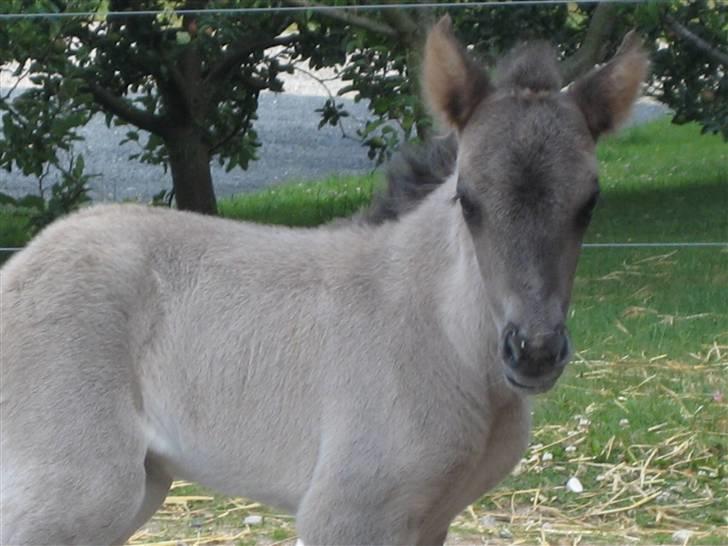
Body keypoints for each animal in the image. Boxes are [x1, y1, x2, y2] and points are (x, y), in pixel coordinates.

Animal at [1, 17, 648, 544]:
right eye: (469, 200)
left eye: (588, 203)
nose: (534, 351)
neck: (440, 337)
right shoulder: (349, 513)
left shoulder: (431, 518)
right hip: (78, 491)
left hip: (140, 481)